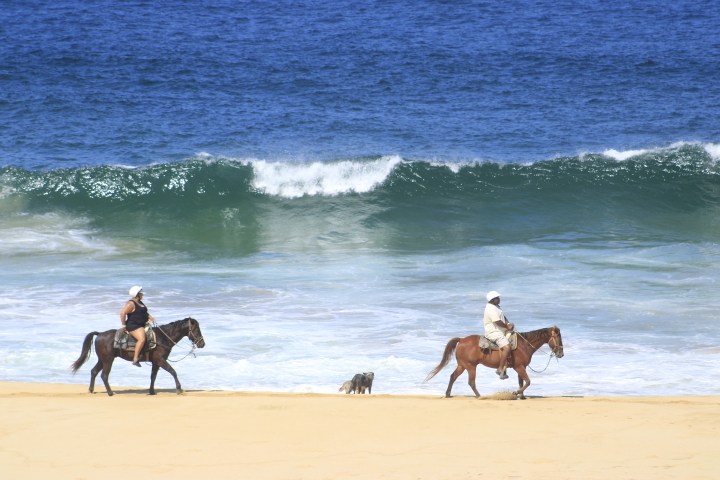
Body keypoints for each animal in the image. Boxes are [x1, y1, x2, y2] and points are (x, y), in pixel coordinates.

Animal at [71, 317, 206, 396]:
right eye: (196, 329)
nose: (202, 343)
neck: (163, 337)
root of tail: (99, 334)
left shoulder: (156, 362)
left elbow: (153, 377)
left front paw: (151, 391)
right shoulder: (160, 360)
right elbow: (173, 371)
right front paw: (179, 389)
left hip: (102, 359)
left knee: (94, 371)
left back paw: (91, 390)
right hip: (108, 360)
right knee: (104, 375)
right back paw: (110, 392)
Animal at [424, 326, 563, 399]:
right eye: (558, 337)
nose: (561, 354)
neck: (525, 345)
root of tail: (462, 340)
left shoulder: (521, 367)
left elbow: (522, 382)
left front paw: (522, 396)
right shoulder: (519, 367)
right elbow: (528, 381)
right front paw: (515, 393)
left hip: (462, 366)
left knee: (453, 376)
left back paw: (448, 394)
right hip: (471, 367)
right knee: (471, 382)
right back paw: (479, 396)